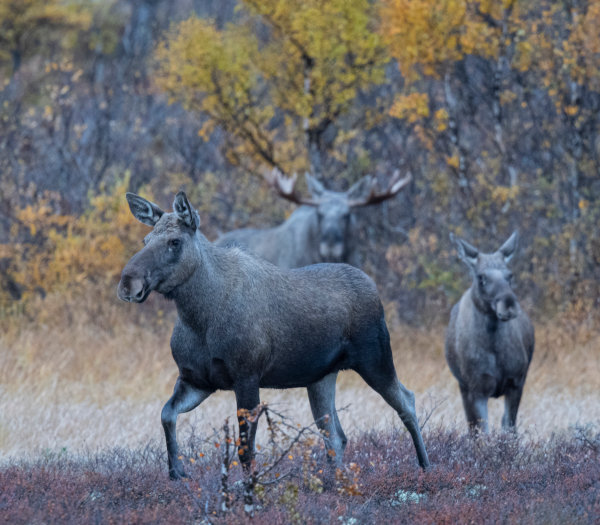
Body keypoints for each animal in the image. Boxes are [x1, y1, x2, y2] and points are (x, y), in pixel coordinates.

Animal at [117, 191, 428, 478]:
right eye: (145, 240)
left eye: (175, 242)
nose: (128, 283)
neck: (198, 319)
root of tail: (372, 286)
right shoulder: (196, 380)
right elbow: (166, 414)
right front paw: (177, 471)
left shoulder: (246, 377)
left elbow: (246, 452)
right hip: (321, 377)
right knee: (336, 436)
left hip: (375, 359)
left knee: (407, 401)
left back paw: (425, 467)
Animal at [446, 231, 536, 432]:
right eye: (481, 277)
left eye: (510, 275)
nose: (509, 305)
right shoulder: (476, 388)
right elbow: (481, 432)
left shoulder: (516, 382)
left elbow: (509, 428)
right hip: (463, 386)